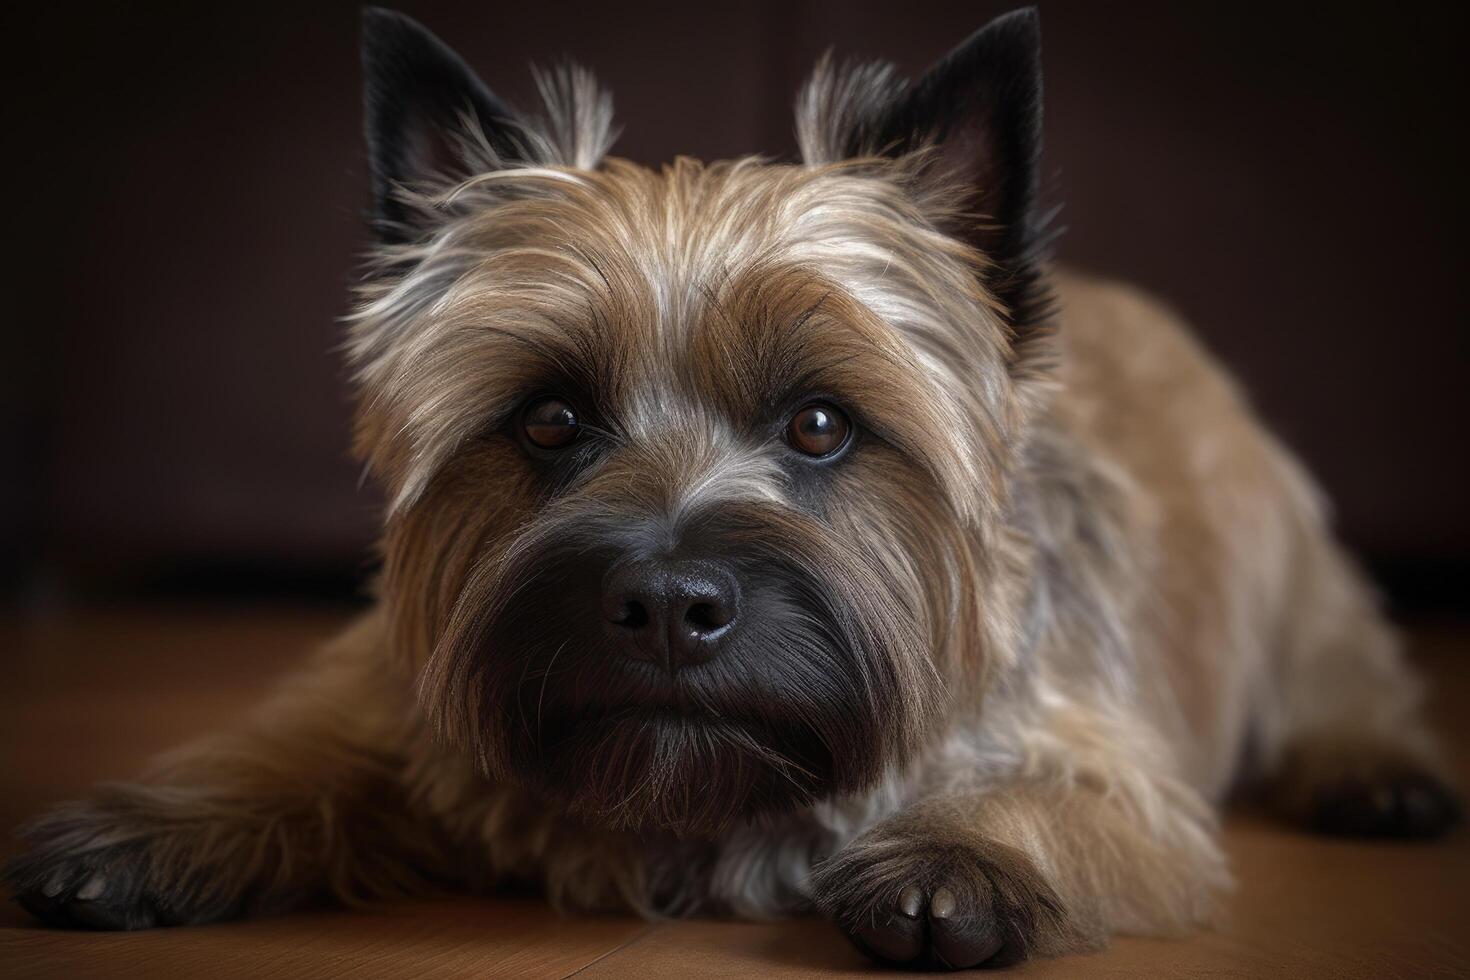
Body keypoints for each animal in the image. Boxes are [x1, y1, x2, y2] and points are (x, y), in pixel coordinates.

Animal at [8, 7, 1458, 969]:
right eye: (549, 418)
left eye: (819, 424)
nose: (665, 606)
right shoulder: (389, 691)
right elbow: (293, 746)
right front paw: (150, 829)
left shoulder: (1110, 762)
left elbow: (1068, 802)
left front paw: (966, 851)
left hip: (1293, 571)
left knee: (1346, 675)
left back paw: (1378, 773)